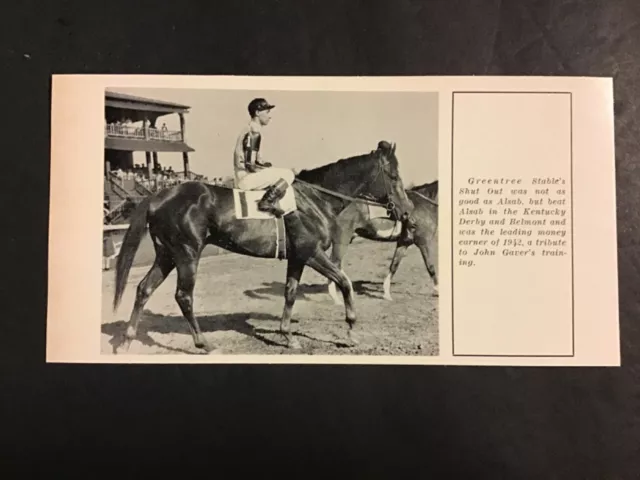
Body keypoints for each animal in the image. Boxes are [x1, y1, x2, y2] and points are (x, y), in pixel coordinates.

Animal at [112, 141, 412, 354]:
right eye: (393, 176)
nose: (407, 210)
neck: (315, 198)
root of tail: (158, 196)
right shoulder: (312, 253)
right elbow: (345, 282)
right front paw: (351, 331)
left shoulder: (298, 257)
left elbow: (290, 293)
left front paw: (287, 336)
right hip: (187, 254)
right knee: (183, 296)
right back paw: (203, 343)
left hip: (167, 255)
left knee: (144, 289)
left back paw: (127, 340)